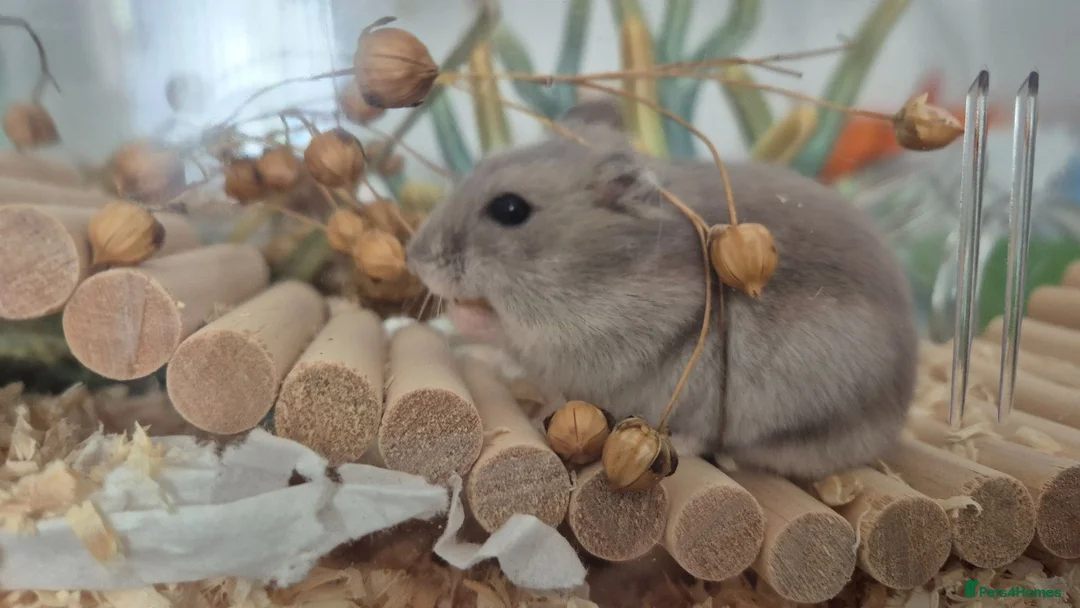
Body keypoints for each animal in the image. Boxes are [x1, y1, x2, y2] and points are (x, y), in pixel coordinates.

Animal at [406, 99, 918, 481]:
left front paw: (462, 314)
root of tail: (893, 421)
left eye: (509, 209)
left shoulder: (586, 336)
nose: (414, 258)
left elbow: (508, 331)